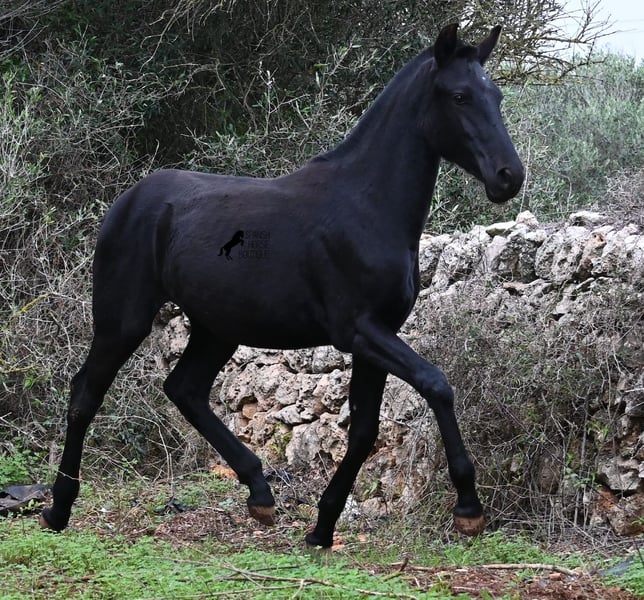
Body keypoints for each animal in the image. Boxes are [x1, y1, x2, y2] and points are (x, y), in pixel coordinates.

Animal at [40, 23, 524, 548]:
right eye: (459, 96)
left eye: (496, 95)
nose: (509, 177)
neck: (366, 206)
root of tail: (127, 201)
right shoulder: (358, 330)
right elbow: (437, 385)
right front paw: (469, 508)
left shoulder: (377, 336)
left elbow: (365, 429)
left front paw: (322, 527)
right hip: (123, 320)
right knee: (85, 395)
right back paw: (57, 509)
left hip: (217, 328)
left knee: (185, 390)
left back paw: (260, 494)